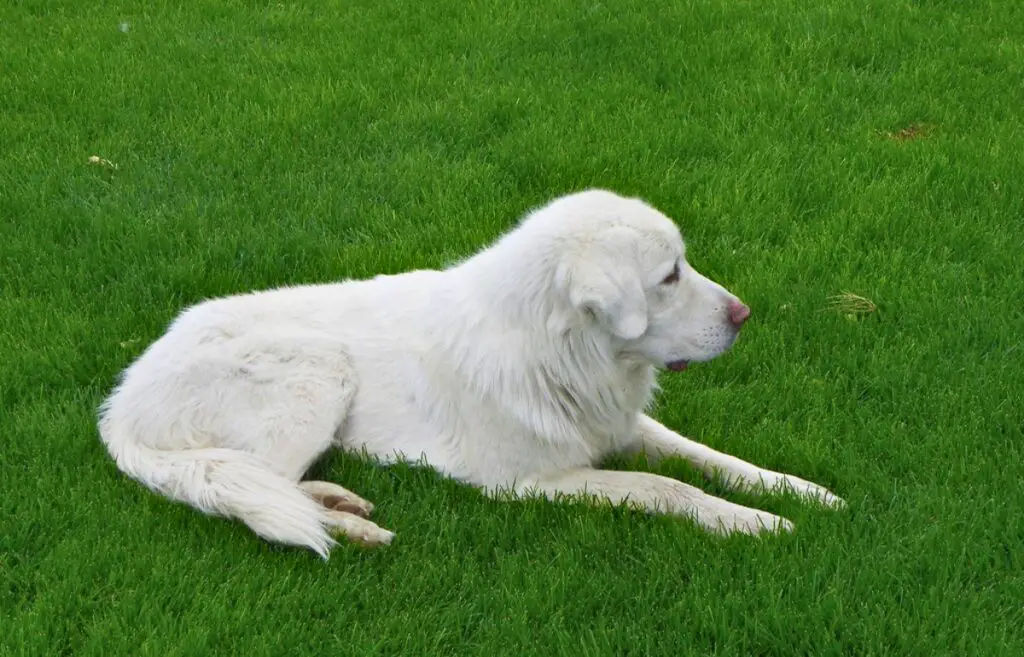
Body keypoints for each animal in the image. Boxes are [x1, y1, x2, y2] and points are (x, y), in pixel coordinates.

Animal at [99, 186, 843, 556]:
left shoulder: (620, 425)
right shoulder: (532, 482)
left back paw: (340, 501)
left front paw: (799, 491)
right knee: (258, 483)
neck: (562, 351)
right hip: (318, 367)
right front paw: (754, 524)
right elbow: (666, 487)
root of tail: (119, 407)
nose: (745, 313)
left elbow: (710, 457)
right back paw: (348, 525)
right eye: (669, 276)